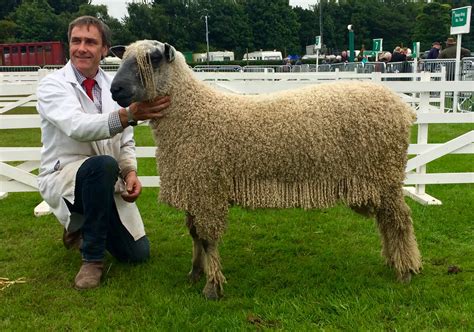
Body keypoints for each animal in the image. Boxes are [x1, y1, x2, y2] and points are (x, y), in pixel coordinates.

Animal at [110, 40, 422, 300]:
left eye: (152, 59)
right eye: (123, 58)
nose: (116, 89)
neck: (194, 114)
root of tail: (403, 108)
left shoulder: (208, 190)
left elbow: (208, 239)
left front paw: (212, 286)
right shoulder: (196, 187)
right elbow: (196, 235)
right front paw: (195, 273)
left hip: (386, 174)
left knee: (400, 220)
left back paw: (406, 270)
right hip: (378, 179)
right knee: (386, 221)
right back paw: (394, 261)